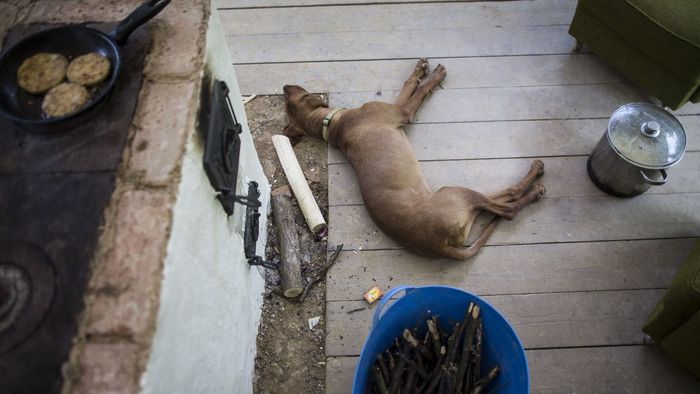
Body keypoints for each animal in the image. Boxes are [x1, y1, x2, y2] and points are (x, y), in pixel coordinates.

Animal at [282, 58, 544, 260]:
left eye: (289, 95)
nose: (284, 86)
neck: (333, 125)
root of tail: (438, 245)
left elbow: (409, 85)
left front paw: (420, 68)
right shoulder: (402, 111)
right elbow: (417, 91)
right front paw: (434, 75)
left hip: (462, 207)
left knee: (496, 203)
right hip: (455, 194)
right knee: (507, 206)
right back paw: (535, 183)